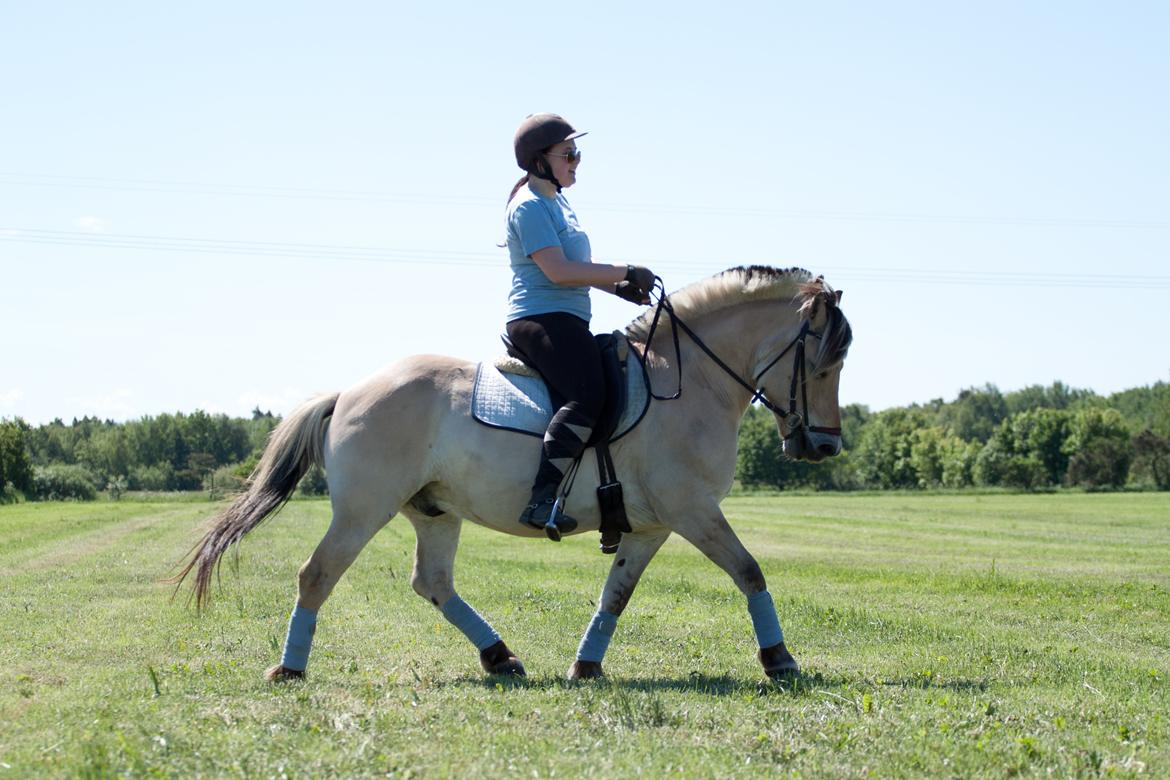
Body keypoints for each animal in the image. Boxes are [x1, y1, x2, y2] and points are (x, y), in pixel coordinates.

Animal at [173, 265, 851, 678]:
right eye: (824, 364)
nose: (824, 446)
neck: (690, 382)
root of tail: (349, 392)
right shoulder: (693, 510)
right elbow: (750, 570)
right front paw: (780, 659)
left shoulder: (652, 526)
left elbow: (616, 594)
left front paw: (586, 665)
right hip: (363, 510)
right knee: (317, 575)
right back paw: (290, 668)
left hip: (434, 511)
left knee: (433, 582)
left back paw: (500, 657)